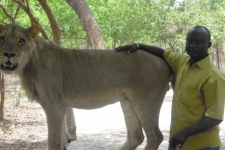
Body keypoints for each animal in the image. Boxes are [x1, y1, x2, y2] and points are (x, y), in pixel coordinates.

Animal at [0, 23, 171, 150]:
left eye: (21, 41)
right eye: (2, 38)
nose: (8, 54)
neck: (27, 64)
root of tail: (163, 59)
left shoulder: (54, 105)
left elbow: (54, 142)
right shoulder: (60, 106)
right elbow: (62, 141)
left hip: (145, 102)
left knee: (155, 137)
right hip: (127, 102)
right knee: (136, 136)